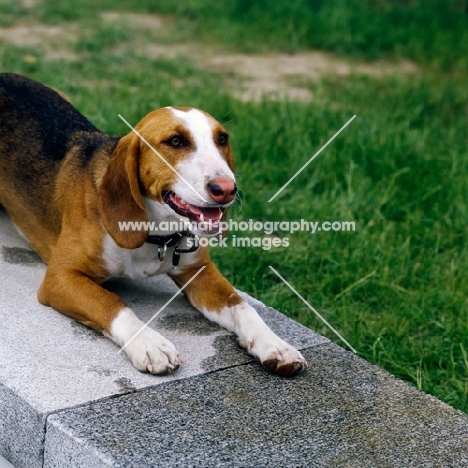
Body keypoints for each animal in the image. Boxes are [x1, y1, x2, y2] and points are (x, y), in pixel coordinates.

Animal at [0, 73, 308, 376]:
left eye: (222, 139)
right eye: (175, 141)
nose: (226, 189)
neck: (158, 233)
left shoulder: (200, 271)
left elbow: (243, 306)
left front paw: (274, 344)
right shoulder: (60, 278)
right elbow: (113, 303)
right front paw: (149, 344)